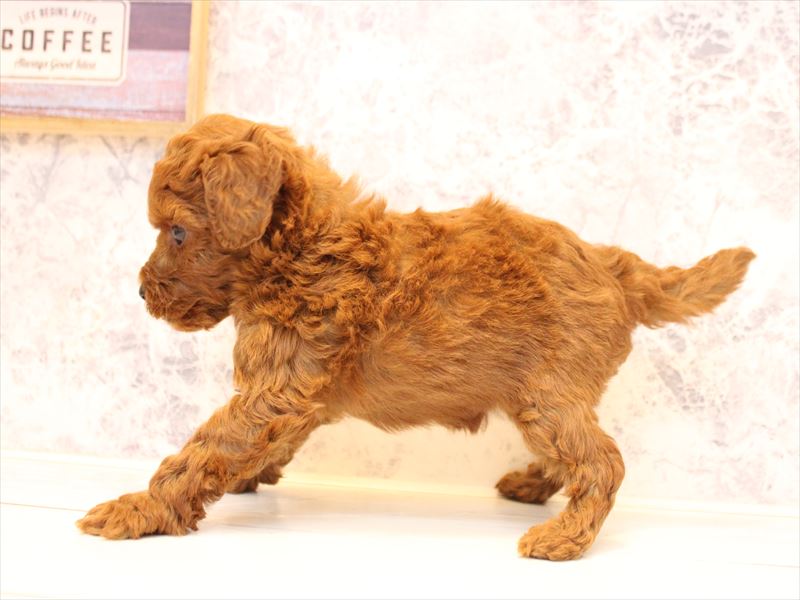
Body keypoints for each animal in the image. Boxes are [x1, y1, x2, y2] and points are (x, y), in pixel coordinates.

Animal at [77, 114, 754, 560]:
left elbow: (206, 446)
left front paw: (138, 509)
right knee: (574, 452)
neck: (299, 243)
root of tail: (613, 264)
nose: (142, 293)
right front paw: (248, 477)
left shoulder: (278, 385)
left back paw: (565, 536)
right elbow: (254, 442)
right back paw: (534, 485)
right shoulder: (297, 393)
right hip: (543, 395)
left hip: (549, 391)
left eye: (178, 232)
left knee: (601, 461)